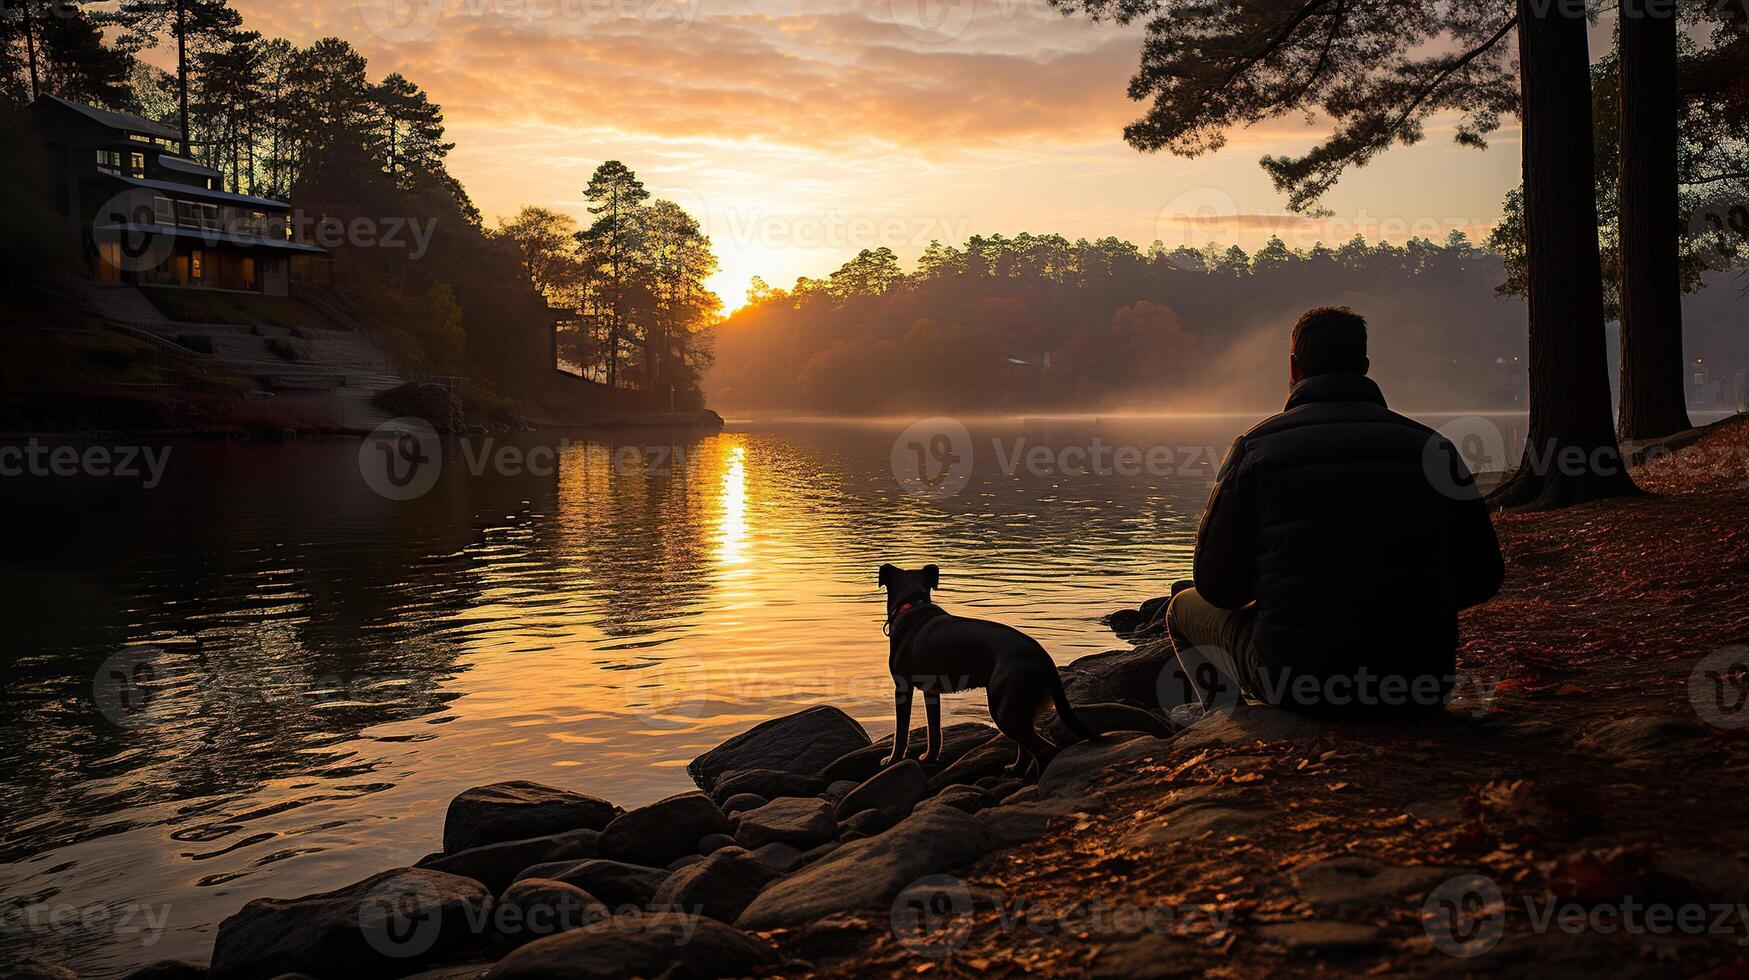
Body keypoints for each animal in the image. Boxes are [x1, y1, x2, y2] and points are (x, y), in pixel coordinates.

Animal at [881, 563, 1098, 777]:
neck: (912, 604)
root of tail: (1045, 660)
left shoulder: (903, 688)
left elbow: (901, 733)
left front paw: (892, 761)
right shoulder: (931, 693)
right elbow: (934, 733)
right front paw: (930, 758)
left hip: (1004, 707)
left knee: (1042, 749)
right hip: (1017, 707)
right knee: (1026, 745)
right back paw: (1016, 770)